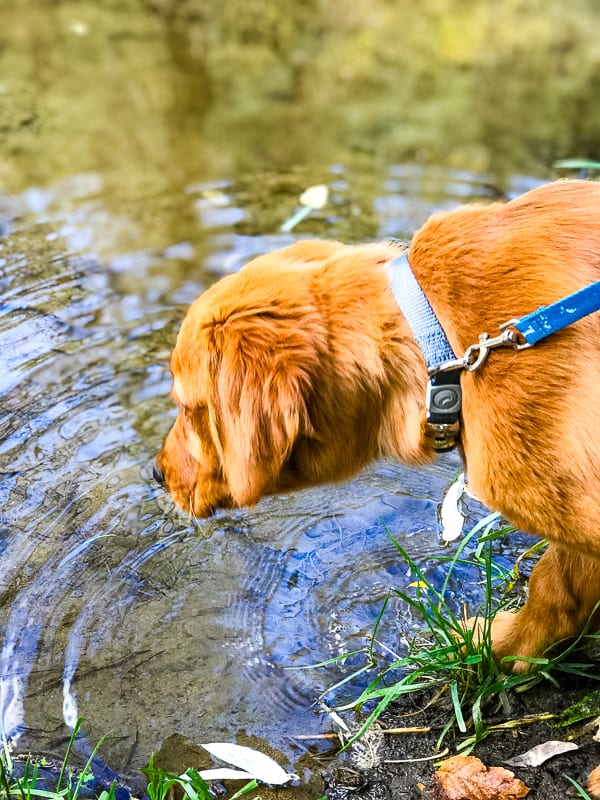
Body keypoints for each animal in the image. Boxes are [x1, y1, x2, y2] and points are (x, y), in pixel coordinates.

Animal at [156, 180, 600, 692]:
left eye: (187, 407)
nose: (155, 474)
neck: (443, 350)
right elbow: (563, 584)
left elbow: (550, 582)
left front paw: (500, 648)